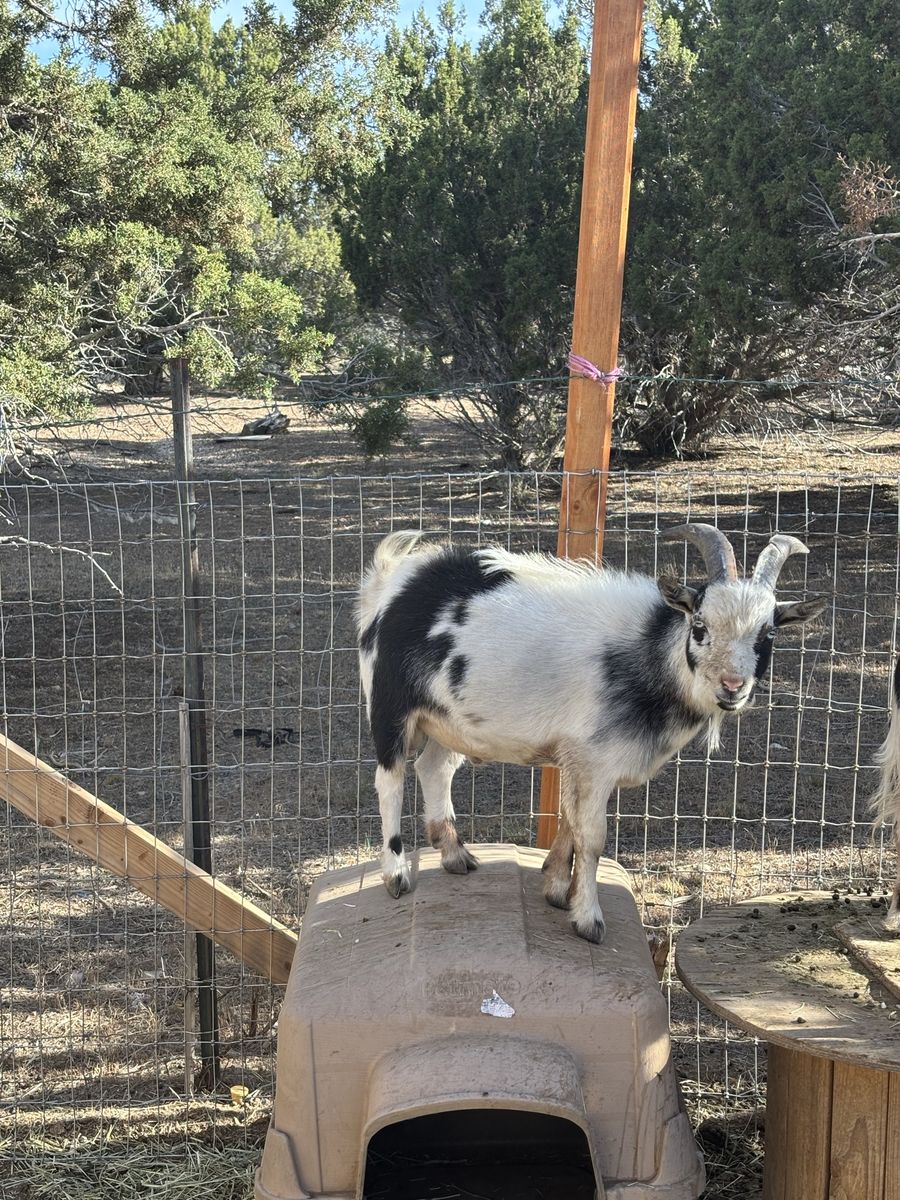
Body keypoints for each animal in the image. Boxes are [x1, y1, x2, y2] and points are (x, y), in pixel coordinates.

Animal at [358, 524, 825, 943]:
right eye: (700, 627)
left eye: (768, 633)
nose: (732, 686)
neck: (648, 652)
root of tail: (395, 576)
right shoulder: (593, 759)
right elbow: (592, 836)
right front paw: (587, 918)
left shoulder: (578, 757)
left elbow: (570, 818)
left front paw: (555, 886)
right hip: (390, 705)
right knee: (390, 779)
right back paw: (396, 875)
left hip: (447, 720)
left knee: (434, 768)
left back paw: (455, 853)